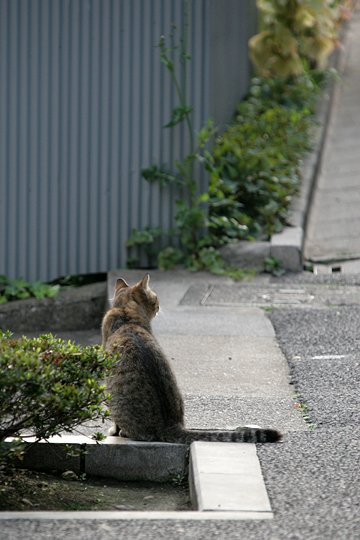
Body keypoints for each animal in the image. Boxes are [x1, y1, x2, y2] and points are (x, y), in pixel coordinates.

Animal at [101, 274, 282, 442]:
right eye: (156, 298)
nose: (159, 306)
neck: (124, 312)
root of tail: (170, 426)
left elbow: (115, 425)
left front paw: (113, 431)